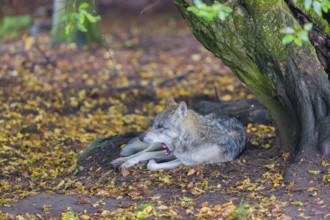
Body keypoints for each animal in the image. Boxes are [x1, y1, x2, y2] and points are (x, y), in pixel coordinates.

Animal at [112, 97, 246, 171]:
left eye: (160, 126)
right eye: (154, 125)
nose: (141, 137)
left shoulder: (184, 162)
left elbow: (152, 166)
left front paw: (151, 162)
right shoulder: (174, 154)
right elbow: (144, 154)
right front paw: (127, 163)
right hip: (157, 145)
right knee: (143, 151)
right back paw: (120, 160)